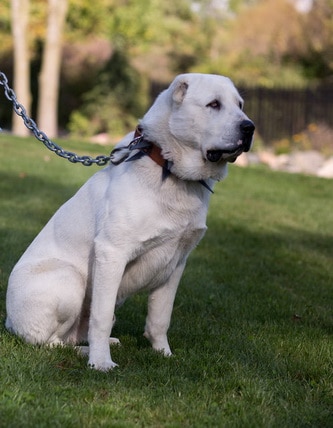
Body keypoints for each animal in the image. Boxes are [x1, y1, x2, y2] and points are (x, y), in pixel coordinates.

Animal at [5, 73, 254, 372]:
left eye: (240, 105)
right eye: (214, 104)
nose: (249, 127)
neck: (169, 169)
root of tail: (8, 322)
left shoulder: (176, 263)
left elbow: (160, 318)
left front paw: (164, 354)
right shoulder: (111, 253)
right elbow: (100, 317)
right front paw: (101, 363)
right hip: (69, 279)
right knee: (51, 343)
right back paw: (86, 352)